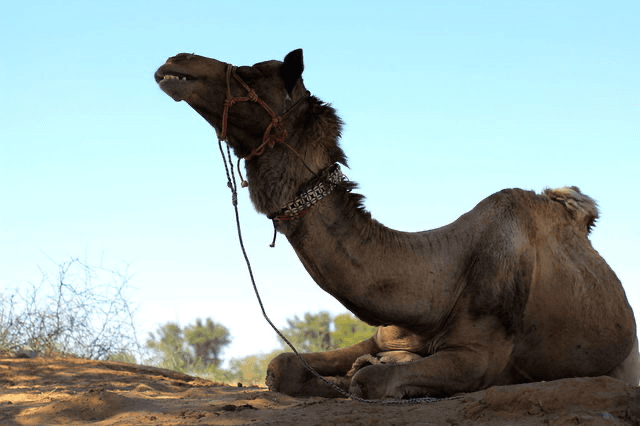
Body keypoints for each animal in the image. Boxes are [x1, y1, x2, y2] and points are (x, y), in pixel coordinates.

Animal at [154, 50, 636, 400]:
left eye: (250, 73)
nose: (176, 61)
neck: (438, 279)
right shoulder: (381, 336)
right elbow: (281, 365)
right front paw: (353, 370)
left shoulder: (479, 357)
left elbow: (367, 382)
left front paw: (364, 374)